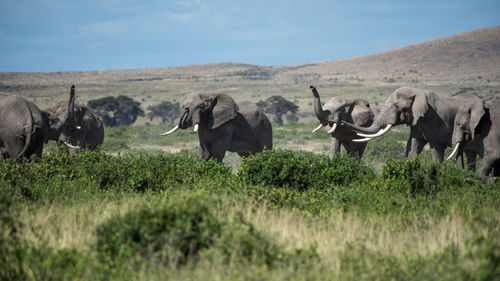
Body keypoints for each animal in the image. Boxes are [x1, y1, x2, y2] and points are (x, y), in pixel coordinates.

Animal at [342, 87, 478, 162]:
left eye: (396, 105)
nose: (342, 122)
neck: (419, 92)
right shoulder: (417, 123)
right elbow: (412, 145)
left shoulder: (437, 121)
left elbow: (436, 148)